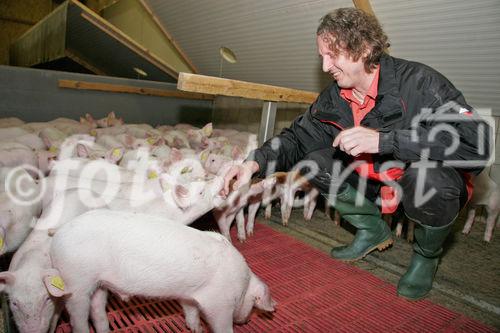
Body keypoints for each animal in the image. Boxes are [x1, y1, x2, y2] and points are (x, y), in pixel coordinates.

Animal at [45, 210, 276, 332]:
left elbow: (190, 312)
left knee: (97, 308)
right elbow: (221, 325)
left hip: (99, 283)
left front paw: (196, 328)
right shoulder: (219, 303)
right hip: (76, 280)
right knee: (77, 316)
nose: (246, 321)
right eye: (254, 304)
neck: (242, 283)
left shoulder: (190, 295)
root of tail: (59, 233)